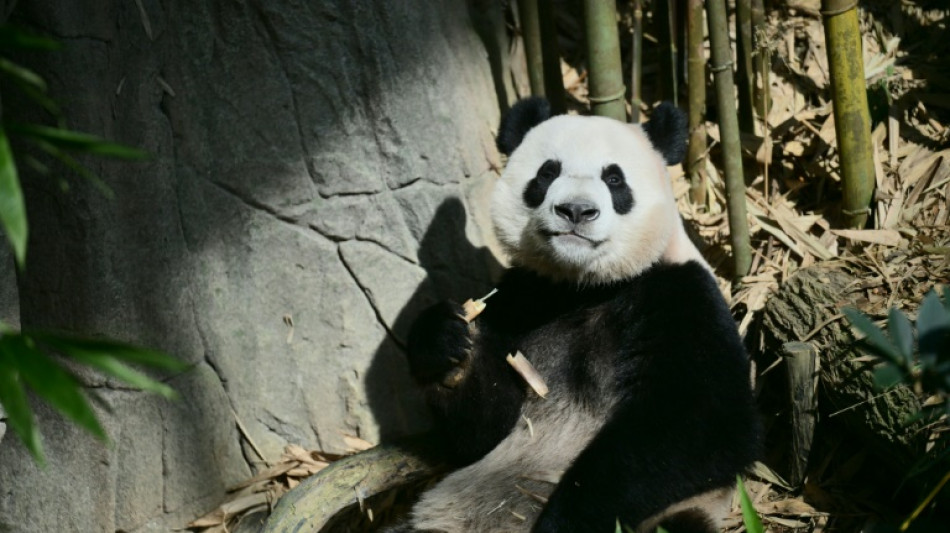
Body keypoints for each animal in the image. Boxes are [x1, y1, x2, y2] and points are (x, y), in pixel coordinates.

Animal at [396, 98, 761, 533]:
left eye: (615, 179)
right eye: (547, 172)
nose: (575, 210)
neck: (584, 284)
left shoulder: (680, 295)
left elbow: (705, 424)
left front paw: (565, 520)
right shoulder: (524, 296)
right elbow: (479, 435)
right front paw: (446, 344)